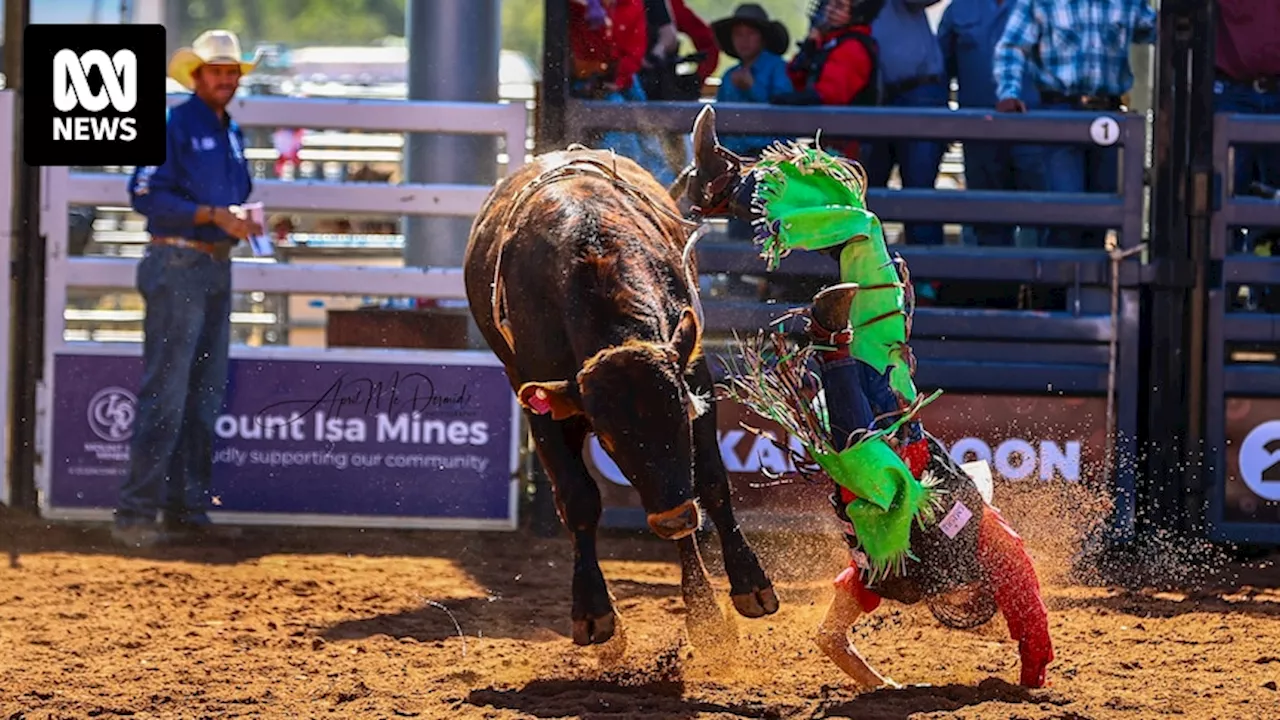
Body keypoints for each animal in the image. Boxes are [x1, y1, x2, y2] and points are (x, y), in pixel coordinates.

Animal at [463, 144, 778, 645]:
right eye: (608, 441)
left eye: (681, 416)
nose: (673, 519)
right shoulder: (540, 402)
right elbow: (578, 499)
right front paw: (592, 610)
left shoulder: (695, 372)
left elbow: (710, 478)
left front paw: (750, 583)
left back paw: (704, 612)